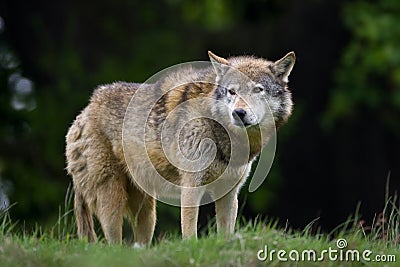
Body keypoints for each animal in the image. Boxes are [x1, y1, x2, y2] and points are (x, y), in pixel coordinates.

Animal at [65, 51, 296, 248]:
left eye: (258, 90)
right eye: (232, 91)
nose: (239, 113)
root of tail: (84, 111)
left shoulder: (229, 193)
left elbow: (226, 234)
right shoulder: (191, 187)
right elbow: (189, 232)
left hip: (147, 212)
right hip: (113, 200)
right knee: (113, 245)